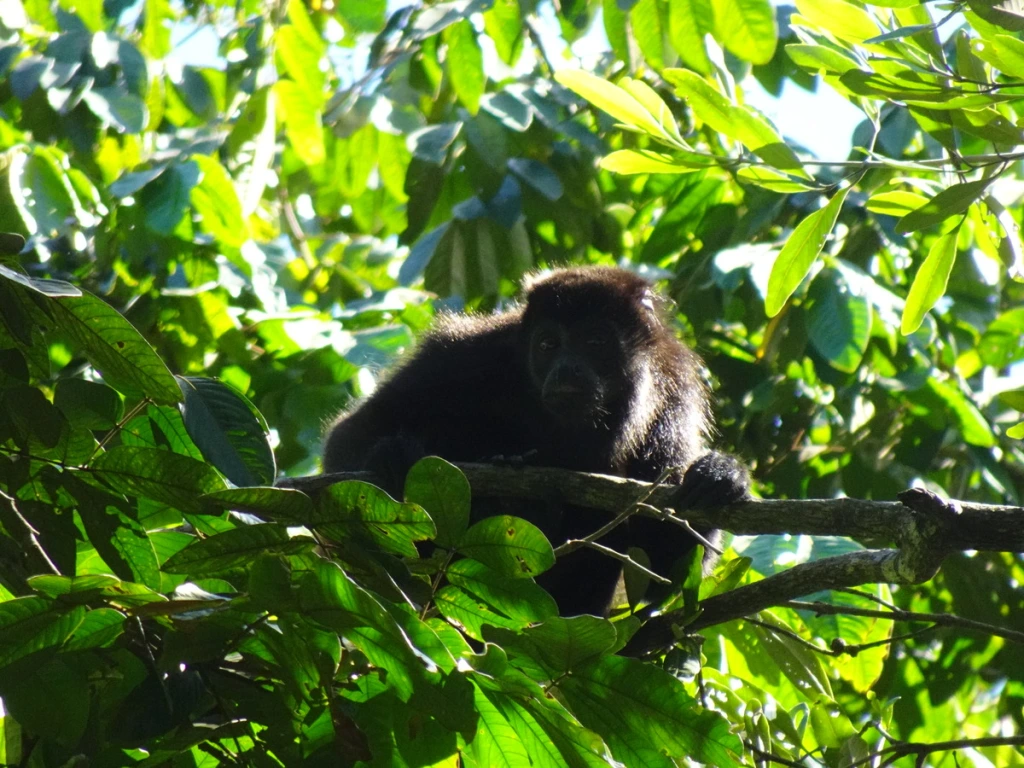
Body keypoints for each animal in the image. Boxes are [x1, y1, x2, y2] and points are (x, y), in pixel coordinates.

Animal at [323, 268, 749, 618]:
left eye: (595, 341)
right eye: (548, 345)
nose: (566, 369)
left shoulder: (675, 390)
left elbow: (663, 564)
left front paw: (720, 476)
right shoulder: (462, 353)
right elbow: (357, 429)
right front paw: (390, 457)